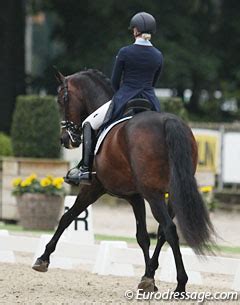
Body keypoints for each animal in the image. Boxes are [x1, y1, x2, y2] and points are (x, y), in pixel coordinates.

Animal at [32, 69, 215, 292]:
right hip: (172, 193)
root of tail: (167, 122)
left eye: (61, 100)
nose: (66, 140)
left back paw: (181, 285)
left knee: (169, 229)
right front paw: (148, 277)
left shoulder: (94, 188)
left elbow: (67, 217)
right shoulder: (135, 196)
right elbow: (142, 236)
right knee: (163, 231)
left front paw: (43, 259)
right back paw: (162, 277)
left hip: (153, 194)